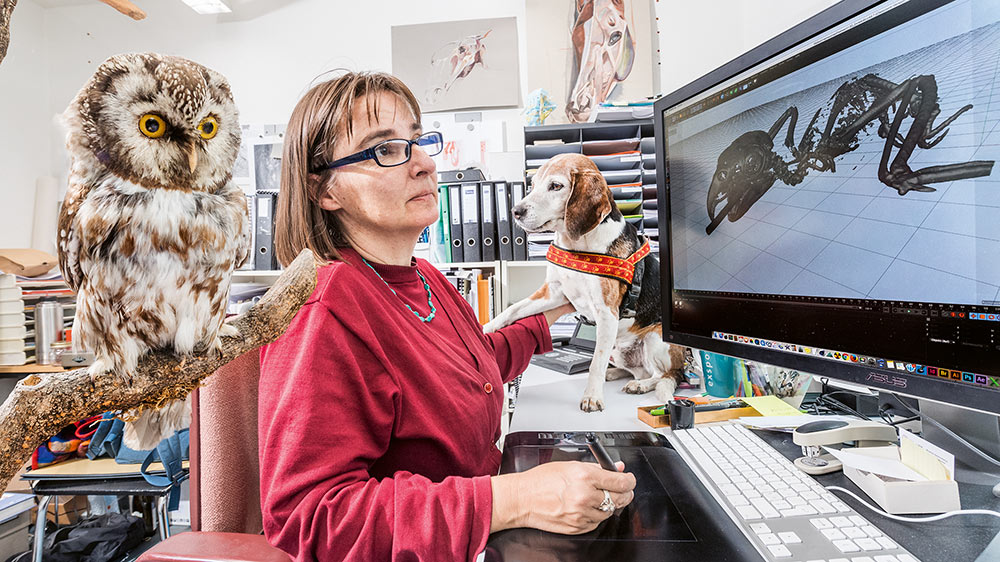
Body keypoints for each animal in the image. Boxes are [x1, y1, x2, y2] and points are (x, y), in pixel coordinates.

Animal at [486, 153, 688, 412]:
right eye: (533, 185)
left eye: (555, 186)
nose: (515, 211)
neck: (577, 245)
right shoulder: (552, 293)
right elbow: (511, 311)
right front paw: (484, 328)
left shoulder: (606, 313)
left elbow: (595, 362)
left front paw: (592, 396)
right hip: (618, 350)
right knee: (638, 371)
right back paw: (616, 375)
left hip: (655, 338)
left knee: (661, 375)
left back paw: (640, 385)